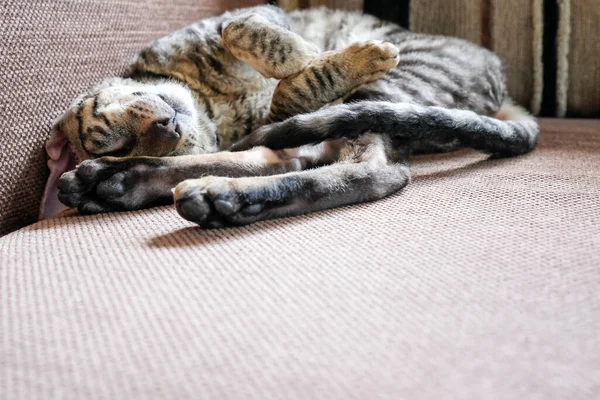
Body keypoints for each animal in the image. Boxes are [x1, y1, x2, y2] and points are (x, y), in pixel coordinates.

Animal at [43, 4, 540, 227]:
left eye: (112, 127)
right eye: (119, 141)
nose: (166, 127)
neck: (211, 107)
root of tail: (502, 82)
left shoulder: (250, 16)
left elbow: (248, 33)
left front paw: (310, 55)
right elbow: (288, 98)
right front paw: (317, 63)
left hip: (393, 86)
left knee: (326, 159)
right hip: (378, 103)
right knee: (358, 168)